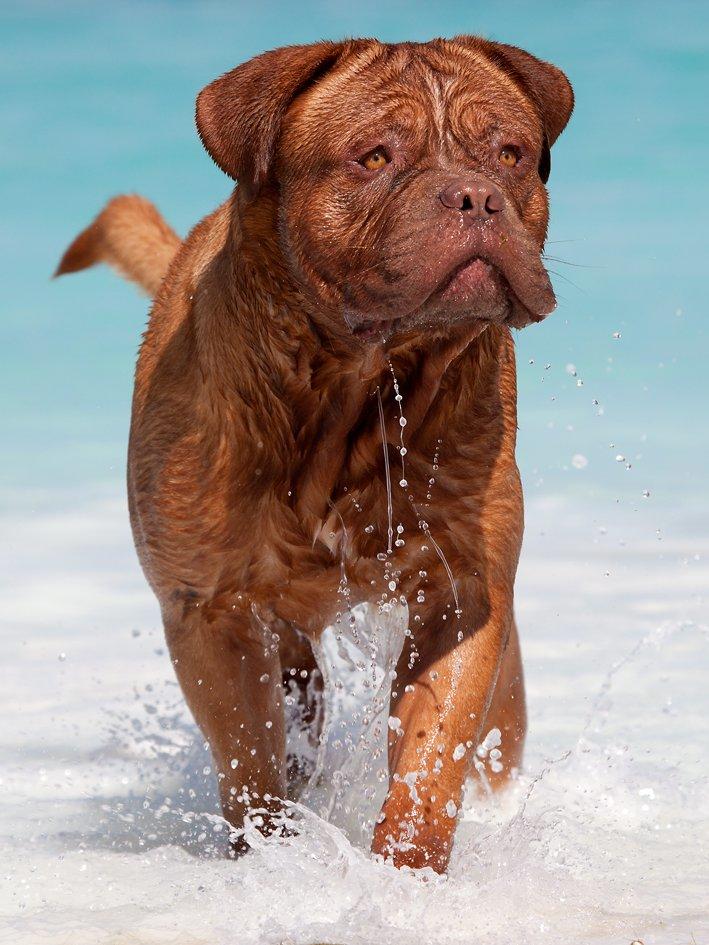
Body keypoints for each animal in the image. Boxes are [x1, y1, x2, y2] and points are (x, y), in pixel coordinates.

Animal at [56, 38, 576, 876]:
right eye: (373, 157)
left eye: (510, 154)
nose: (474, 196)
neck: (355, 388)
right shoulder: (209, 613)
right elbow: (249, 759)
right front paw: (274, 861)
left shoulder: (461, 593)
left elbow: (432, 755)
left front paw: (403, 874)